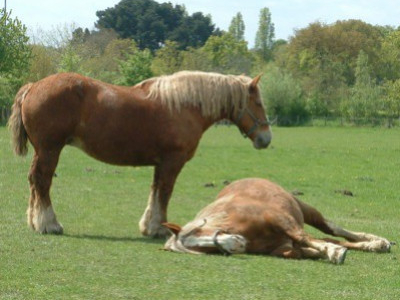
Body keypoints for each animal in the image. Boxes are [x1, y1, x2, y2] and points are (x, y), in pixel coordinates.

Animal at [8, 70, 272, 237]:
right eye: (258, 103)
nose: (266, 138)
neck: (184, 106)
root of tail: (33, 86)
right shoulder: (172, 161)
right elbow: (165, 192)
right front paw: (159, 228)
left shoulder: (161, 163)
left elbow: (155, 191)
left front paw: (148, 226)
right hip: (50, 150)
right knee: (42, 181)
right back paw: (49, 224)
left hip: (43, 151)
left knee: (34, 181)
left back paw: (35, 222)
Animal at [162, 177, 390, 264]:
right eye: (200, 249)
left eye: (198, 231)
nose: (235, 243)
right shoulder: (283, 246)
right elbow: (297, 251)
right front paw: (321, 252)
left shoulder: (282, 219)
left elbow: (306, 238)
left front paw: (334, 253)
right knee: (328, 237)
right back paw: (374, 245)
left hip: (304, 209)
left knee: (332, 230)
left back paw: (377, 241)